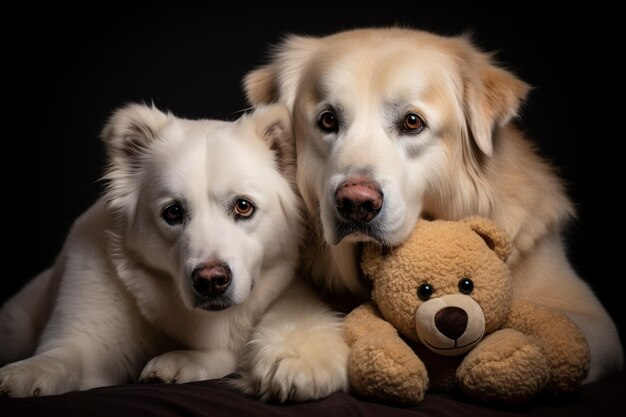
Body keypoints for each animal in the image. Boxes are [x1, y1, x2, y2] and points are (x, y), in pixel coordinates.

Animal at [0, 101, 346, 400]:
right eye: (173, 212)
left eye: (243, 206)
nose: (210, 281)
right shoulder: (86, 335)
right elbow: (61, 357)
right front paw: (24, 373)